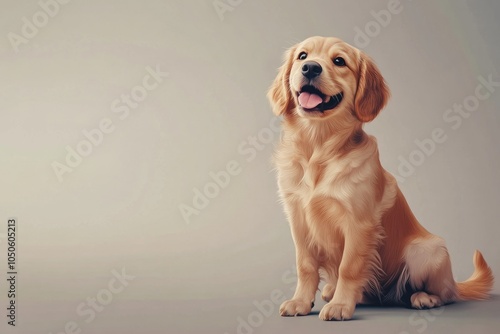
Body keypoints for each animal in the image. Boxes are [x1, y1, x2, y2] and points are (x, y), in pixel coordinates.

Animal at [268, 36, 494, 320]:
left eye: (339, 61)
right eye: (302, 56)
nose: (310, 68)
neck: (317, 148)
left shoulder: (359, 223)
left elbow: (349, 267)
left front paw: (341, 306)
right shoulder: (298, 219)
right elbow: (305, 265)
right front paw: (300, 301)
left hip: (427, 251)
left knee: (446, 294)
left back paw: (423, 297)